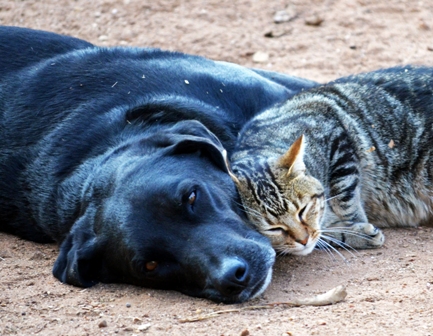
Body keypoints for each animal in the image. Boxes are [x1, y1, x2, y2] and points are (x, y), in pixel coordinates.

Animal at [230, 67, 432, 258]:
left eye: (302, 211)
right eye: (274, 229)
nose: (303, 241)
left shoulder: (338, 142)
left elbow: (347, 201)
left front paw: (355, 226)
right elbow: (322, 232)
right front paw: (351, 233)